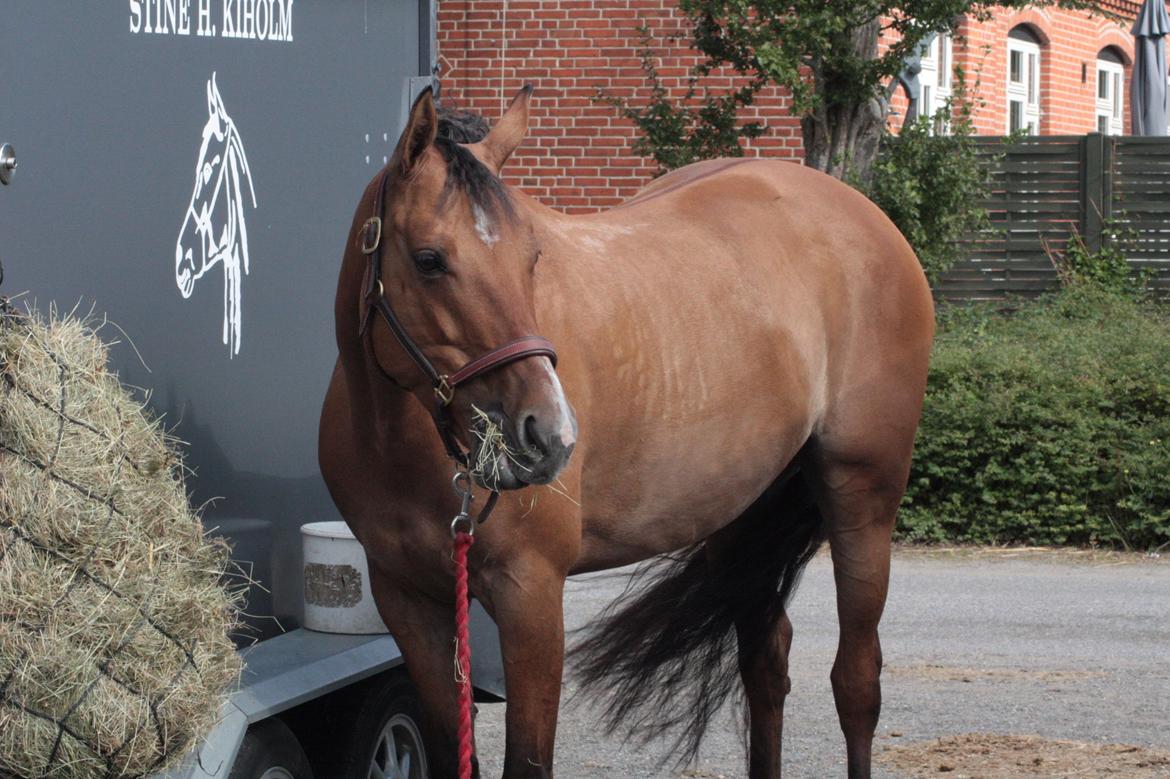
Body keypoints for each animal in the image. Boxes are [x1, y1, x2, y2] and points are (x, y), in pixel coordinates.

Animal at [318, 86, 931, 776]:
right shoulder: (408, 601)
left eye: (533, 257)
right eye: (429, 260)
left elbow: (528, 761)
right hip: (734, 516)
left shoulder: (530, 596)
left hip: (862, 500)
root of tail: (864, 217)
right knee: (766, 662)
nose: (548, 435)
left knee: (856, 682)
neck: (399, 443)